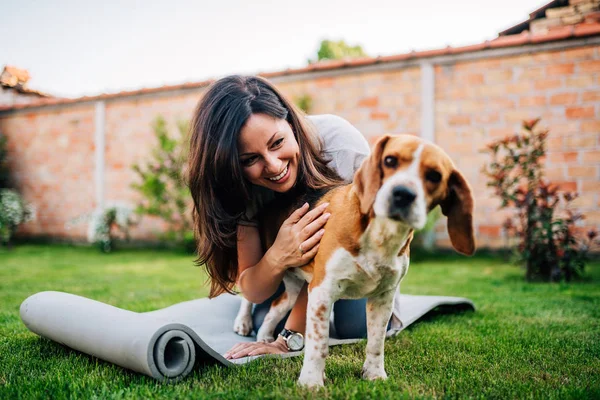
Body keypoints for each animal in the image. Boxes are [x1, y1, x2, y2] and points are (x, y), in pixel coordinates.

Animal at [233, 135, 474, 388]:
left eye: (435, 176)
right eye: (390, 160)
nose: (403, 194)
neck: (381, 234)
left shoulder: (382, 298)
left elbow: (376, 343)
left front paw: (374, 374)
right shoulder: (322, 291)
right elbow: (318, 344)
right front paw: (311, 382)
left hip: (293, 287)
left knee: (274, 307)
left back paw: (264, 337)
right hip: (266, 264)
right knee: (248, 293)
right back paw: (243, 322)